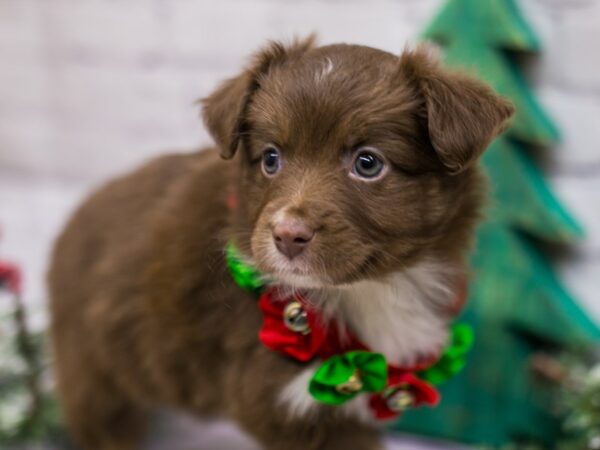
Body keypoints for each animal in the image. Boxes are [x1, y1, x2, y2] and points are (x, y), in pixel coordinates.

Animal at [49, 39, 512, 450]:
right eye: (271, 158)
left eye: (368, 163)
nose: (287, 234)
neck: (369, 290)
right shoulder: (281, 403)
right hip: (94, 371)